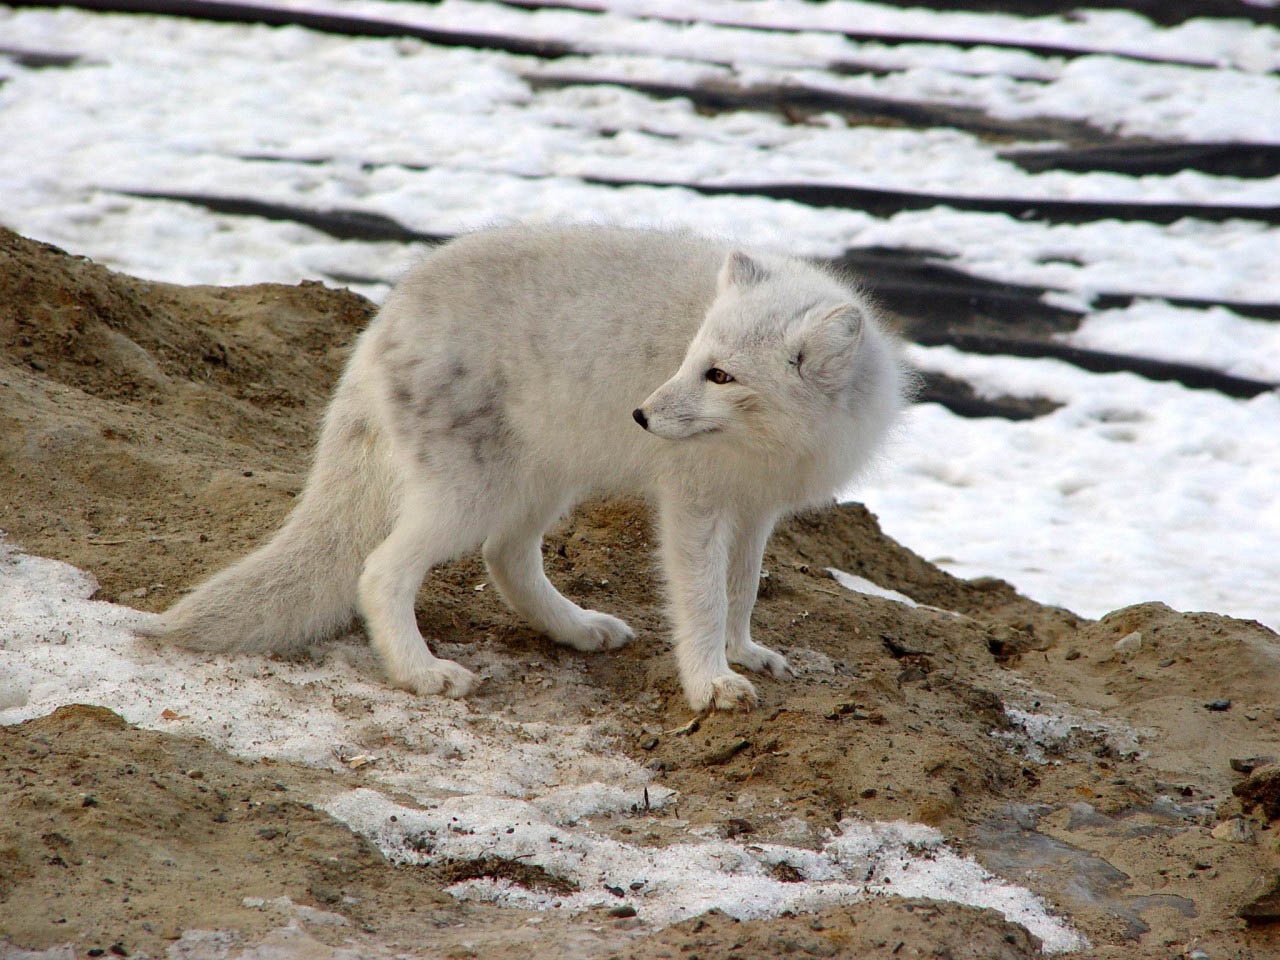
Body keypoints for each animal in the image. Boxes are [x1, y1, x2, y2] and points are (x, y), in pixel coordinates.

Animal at [147, 225, 911, 716]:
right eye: (693, 358)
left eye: (719, 374)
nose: (641, 415)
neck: (775, 441)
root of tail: (384, 319)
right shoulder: (694, 502)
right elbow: (700, 598)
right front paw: (710, 682)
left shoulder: (756, 508)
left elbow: (742, 590)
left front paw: (743, 652)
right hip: (470, 492)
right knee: (382, 572)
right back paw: (422, 673)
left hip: (543, 481)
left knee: (506, 557)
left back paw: (575, 630)